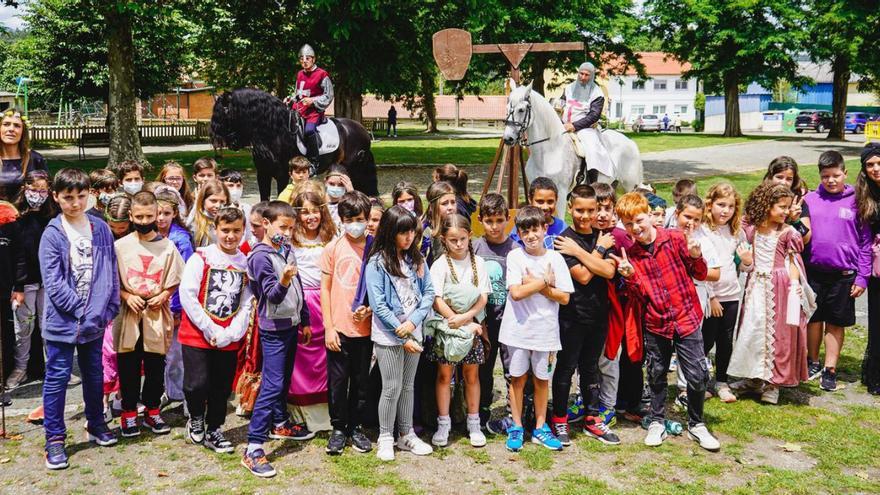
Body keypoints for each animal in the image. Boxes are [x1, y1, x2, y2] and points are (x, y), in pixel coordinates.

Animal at [214, 88, 382, 201]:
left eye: (225, 113)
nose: (231, 143)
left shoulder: (282, 174)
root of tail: (362, 129)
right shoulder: (263, 173)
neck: (275, 131)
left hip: (353, 168)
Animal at [502, 80, 648, 218]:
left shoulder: (560, 194)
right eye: (507, 107)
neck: (549, 151)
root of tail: (630, 142)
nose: (508, 138)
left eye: (521, 110)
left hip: (629, 186)